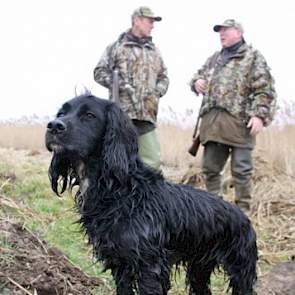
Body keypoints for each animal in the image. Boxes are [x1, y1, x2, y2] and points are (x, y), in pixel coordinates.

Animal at [45, 93, 258, 294]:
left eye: (89, 115)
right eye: (61, 113)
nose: (54, 125)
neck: (120, 190)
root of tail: (242, 215)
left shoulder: (150, 267)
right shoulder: (119, 264)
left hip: (241, 271)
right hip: (199, 270)